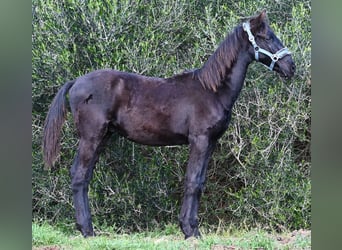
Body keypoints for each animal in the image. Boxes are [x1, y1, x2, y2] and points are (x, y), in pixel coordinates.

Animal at [42, 10, 294, 238]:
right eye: (266, 37)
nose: (291, 66)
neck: (212, 90)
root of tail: (76, 82)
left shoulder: (210, 142)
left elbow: (200, 181)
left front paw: (191, 228)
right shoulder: (199, 140)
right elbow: (192, 182)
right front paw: (190, 231)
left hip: (103, 137)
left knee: (85, 177)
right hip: (91, 137)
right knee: (79, 175)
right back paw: (87, 230)